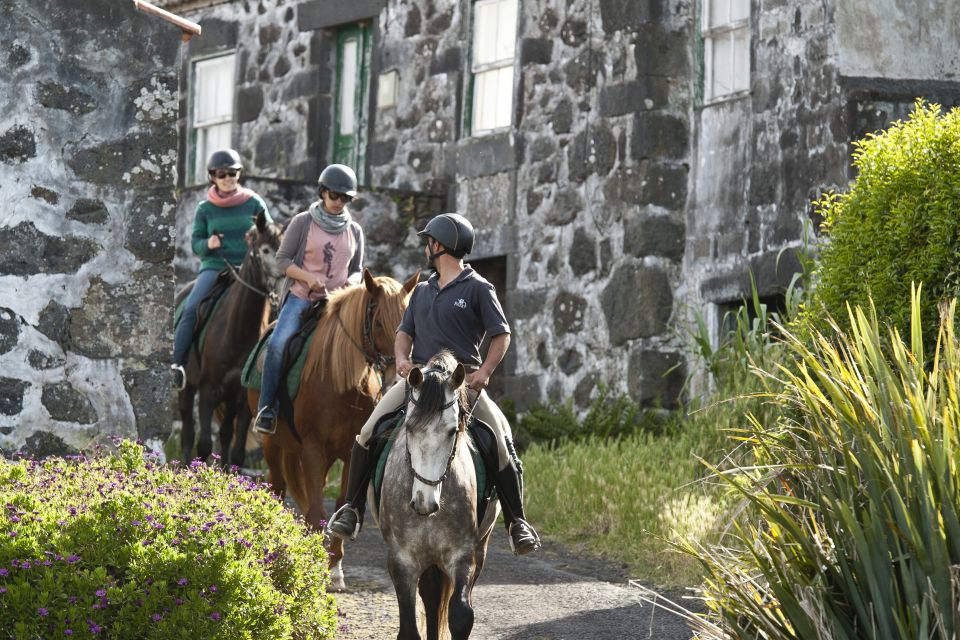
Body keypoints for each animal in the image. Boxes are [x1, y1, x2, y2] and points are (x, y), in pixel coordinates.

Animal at [176, 212, 284, 468]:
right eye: (265, 250)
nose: (284, 275)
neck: (237, 333)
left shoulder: (242, 399)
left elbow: (237, 452)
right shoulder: (208, 390)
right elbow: (204, 445)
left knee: (225, 434)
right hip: (188, 388)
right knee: (188, 432)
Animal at [251, 268, 420, 592]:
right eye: (379, 322)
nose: (397, 378)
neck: (342, 384)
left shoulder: (348, 452)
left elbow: (342, 504)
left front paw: (334, 568)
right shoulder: (313, 451)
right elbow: (316, 511)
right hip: (272, 444)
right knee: (277, 487)